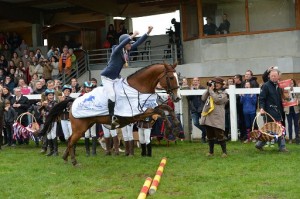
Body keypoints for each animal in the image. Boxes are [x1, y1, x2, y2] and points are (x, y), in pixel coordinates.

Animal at [39, 62, 180, 165]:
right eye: (171, 77)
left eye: (178, 77)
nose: (177, 97)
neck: (137, 87)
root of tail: (72, 101)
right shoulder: (140, 113)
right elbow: (161, 111)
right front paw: (169, 129)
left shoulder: (146, 109)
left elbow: (166, 107)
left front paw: (176, 125)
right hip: (80, 128)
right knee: (70, 141)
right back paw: (73, 161)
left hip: (86, 126)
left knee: (70, 140)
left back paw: (65, 157)